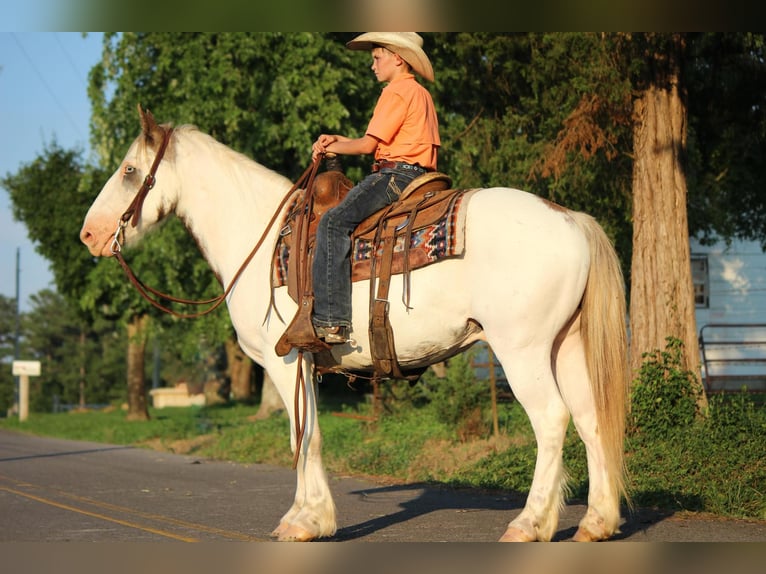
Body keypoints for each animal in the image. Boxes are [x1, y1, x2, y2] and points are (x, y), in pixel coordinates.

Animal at [79, 107, 632, 544]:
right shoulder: (306, 365)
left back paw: (530, 524)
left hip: (522, 350)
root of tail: (569, 217)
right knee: (591, 418)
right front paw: (311, 516)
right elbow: (308, 434)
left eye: (129, 170)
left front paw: (305, 521)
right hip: (566, 347)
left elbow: (305, 436)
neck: (260, 238)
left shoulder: (286, 362)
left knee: (552, 420)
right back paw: (596, 523)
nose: (89, 234)